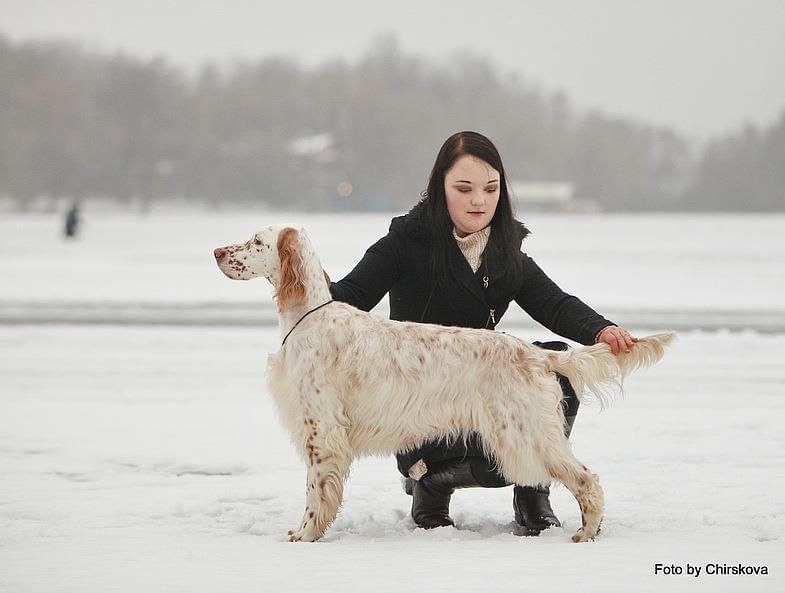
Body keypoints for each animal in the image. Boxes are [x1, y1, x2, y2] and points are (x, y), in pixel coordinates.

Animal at [214, 224, 672, 544]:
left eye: (256, 241)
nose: (217, 251)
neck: (309, 316)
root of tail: (535, 353)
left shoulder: (320, 432)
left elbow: (315, 494)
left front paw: (304, 534)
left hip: (526, 436)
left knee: (586, 480)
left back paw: (585, 533)